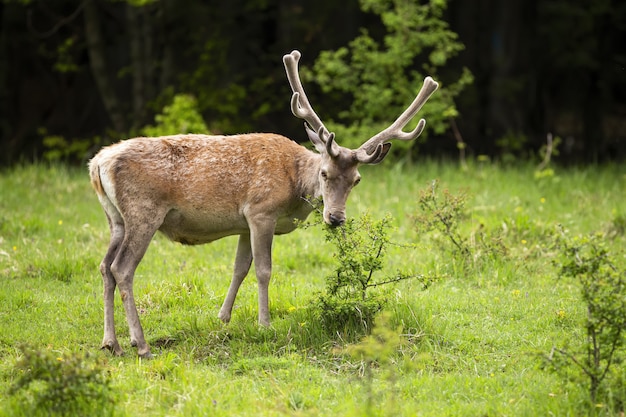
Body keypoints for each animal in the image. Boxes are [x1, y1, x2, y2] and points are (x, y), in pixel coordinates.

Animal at [89, 49, 438, 358]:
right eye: (324, 173)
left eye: (357, 180)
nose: (336, 218)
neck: (294, 186)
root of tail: (97, 164)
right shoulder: (261, 211)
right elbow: (263, 270)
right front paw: (264, 324)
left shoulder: (243, 223)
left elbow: (239, 268)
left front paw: (223, 318)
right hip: (144, 212)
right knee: (122, 268)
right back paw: (140, 344)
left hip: (115, 219)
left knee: (105, 266)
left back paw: (111, 343)